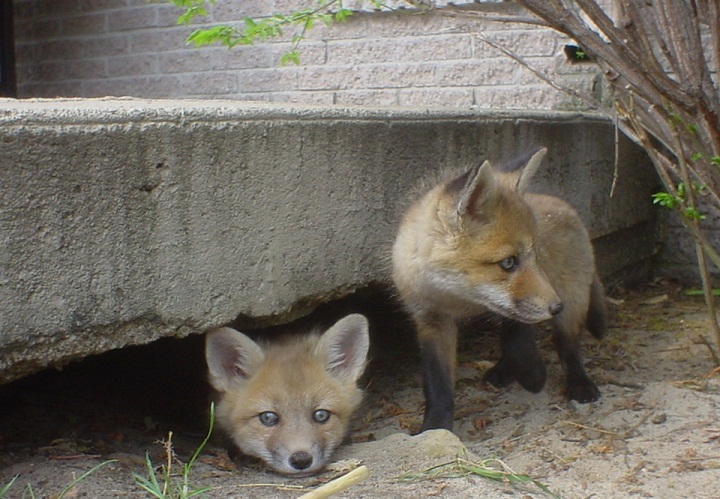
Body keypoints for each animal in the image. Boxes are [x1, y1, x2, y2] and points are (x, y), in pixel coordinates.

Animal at [391, 147, 607, 432]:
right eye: (508, 262)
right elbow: (436, 382)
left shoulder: (521, 305)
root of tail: (567, 207)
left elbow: (516, 339)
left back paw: (579, 383)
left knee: (568, 346)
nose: (556, 306)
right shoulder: (430, 319)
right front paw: (435, 426)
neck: (458, 299)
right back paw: (504, 371)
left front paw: (533, 375)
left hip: (573, 300)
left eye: (536, 257)